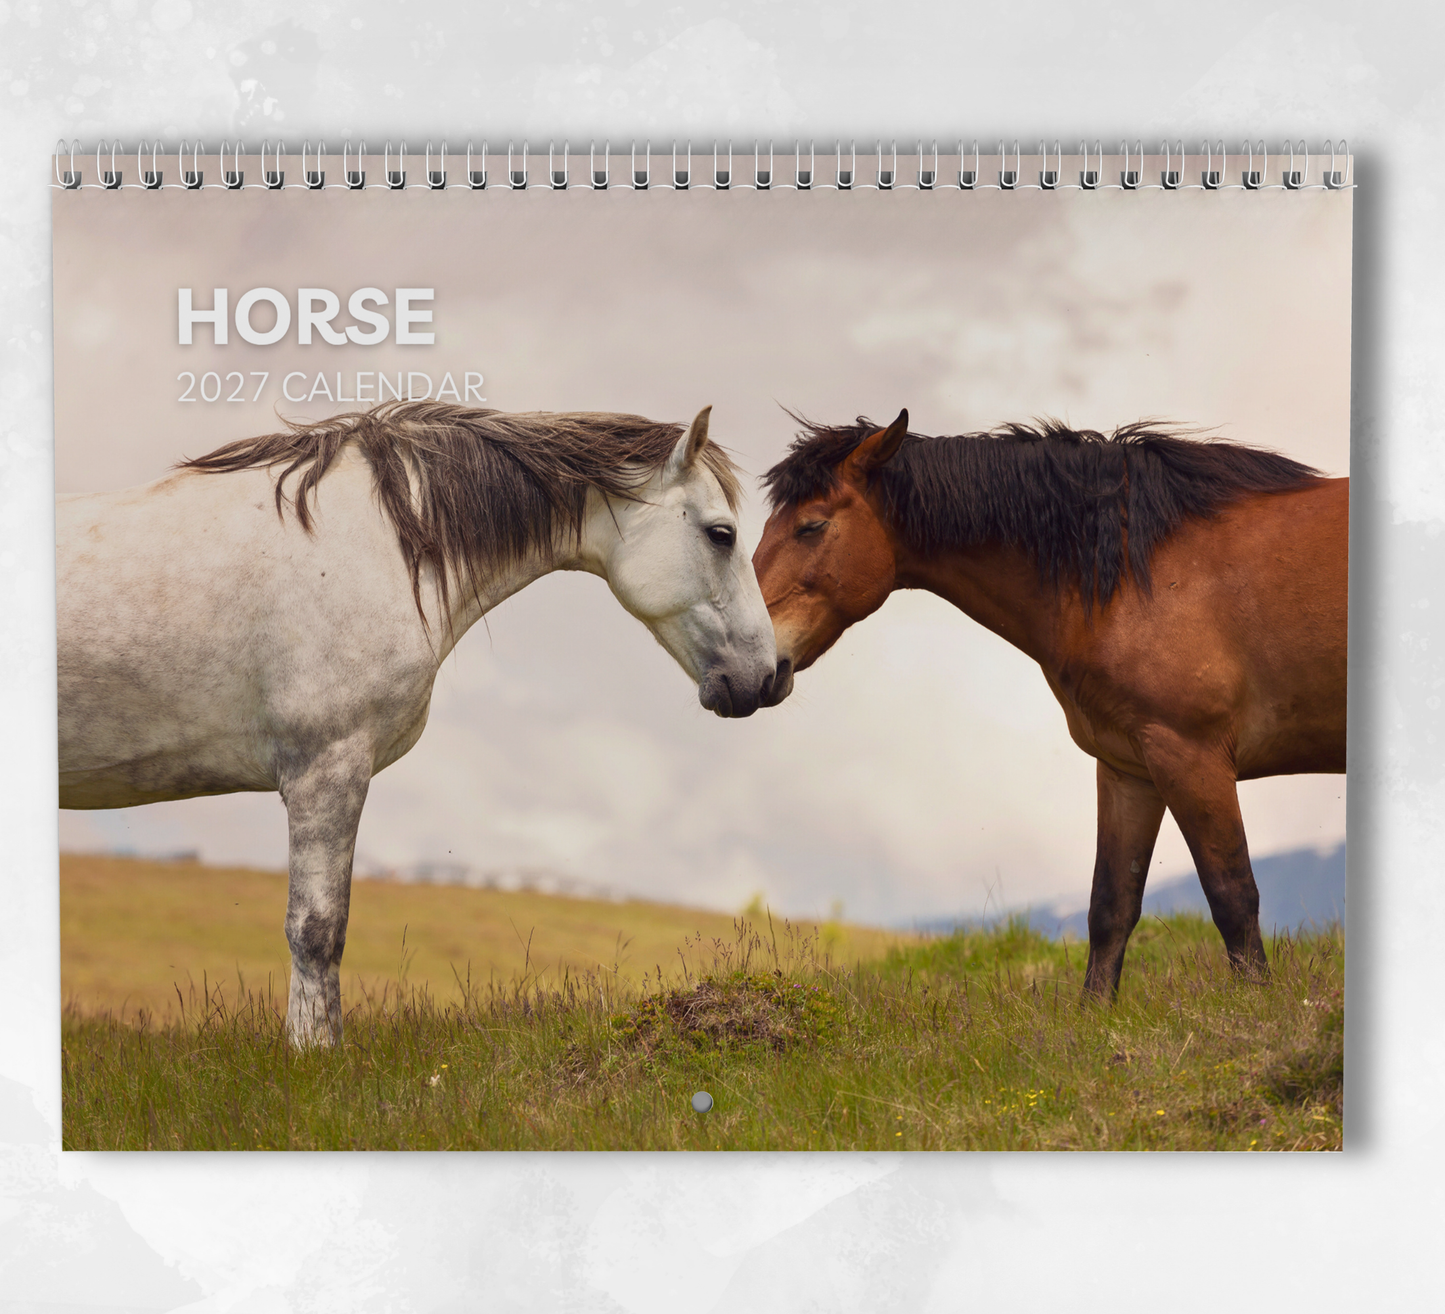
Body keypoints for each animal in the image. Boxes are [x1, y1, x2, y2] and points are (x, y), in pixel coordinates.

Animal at [58, 400, 781, 1044]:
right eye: (721, 533)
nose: (768, 676)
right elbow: (316, 929)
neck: (369, 546)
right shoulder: (326, 770)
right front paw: (313, 1056)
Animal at [753, 409, 1347, 997]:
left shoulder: (1192, 757)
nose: (750, 661)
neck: (1133, 572)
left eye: (811, 526)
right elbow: (1110, 909)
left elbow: (1232, 898)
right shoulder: (1131, 768)